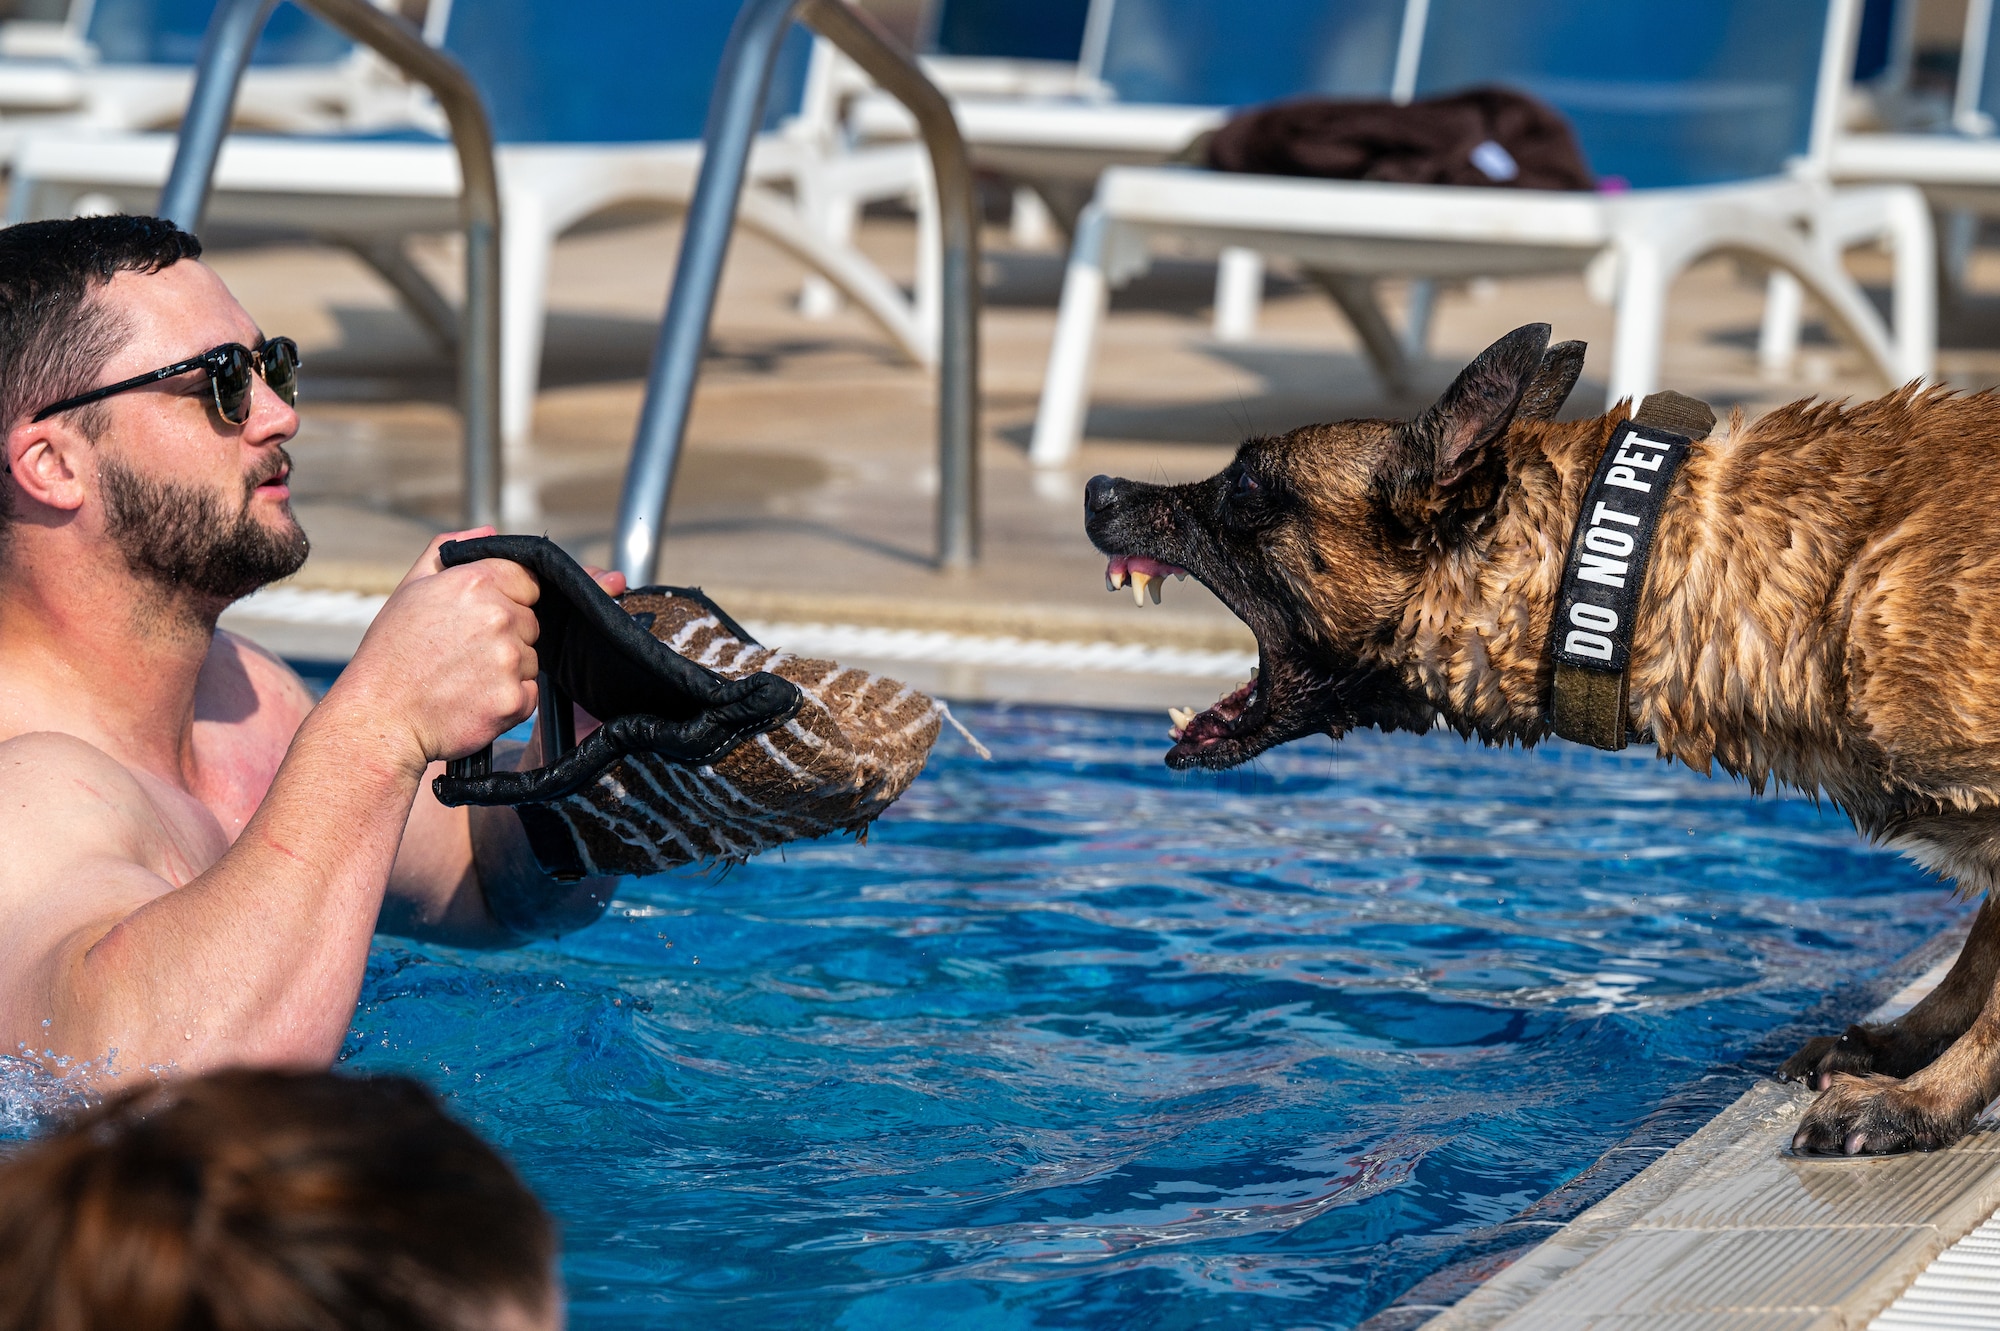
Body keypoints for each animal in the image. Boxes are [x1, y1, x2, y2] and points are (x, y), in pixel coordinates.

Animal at [1096, 319, 2000, 1151]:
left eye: (1247, 483)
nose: (1098, 487)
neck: (1635, 565)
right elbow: (1978, 953)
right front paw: (1901, 1049)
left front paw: (1922, 1100)